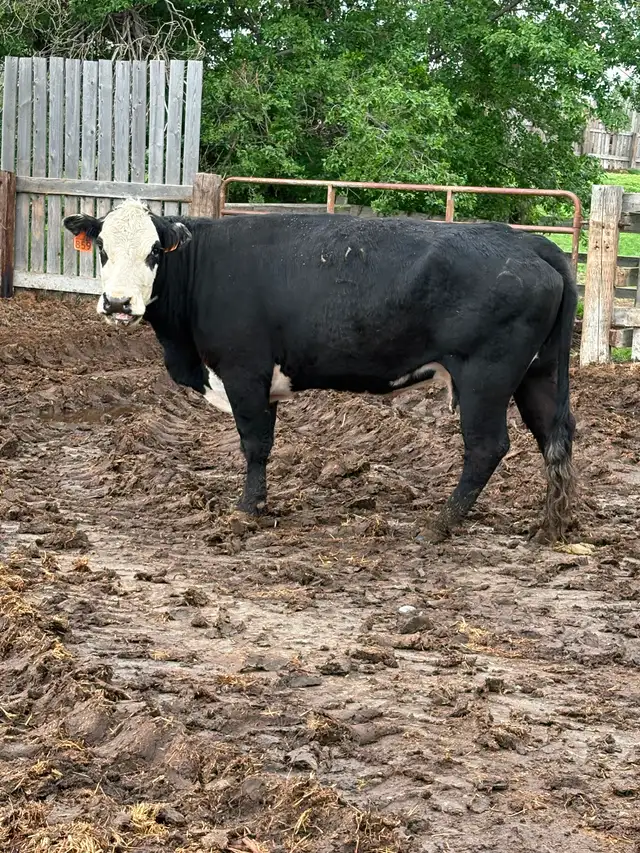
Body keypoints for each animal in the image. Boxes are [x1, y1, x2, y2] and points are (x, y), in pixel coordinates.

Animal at [63, 198, 577, 543]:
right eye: (103, 249)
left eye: (154, 251)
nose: (117, 303)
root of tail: (527, 240)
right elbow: (263, 443)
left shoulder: (244, 371)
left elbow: (254, 444)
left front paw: (247, 509)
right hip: (538, 374)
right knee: (557, 437)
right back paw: (555, 524)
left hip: (484, 378)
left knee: (488, 446)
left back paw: (441, 523)